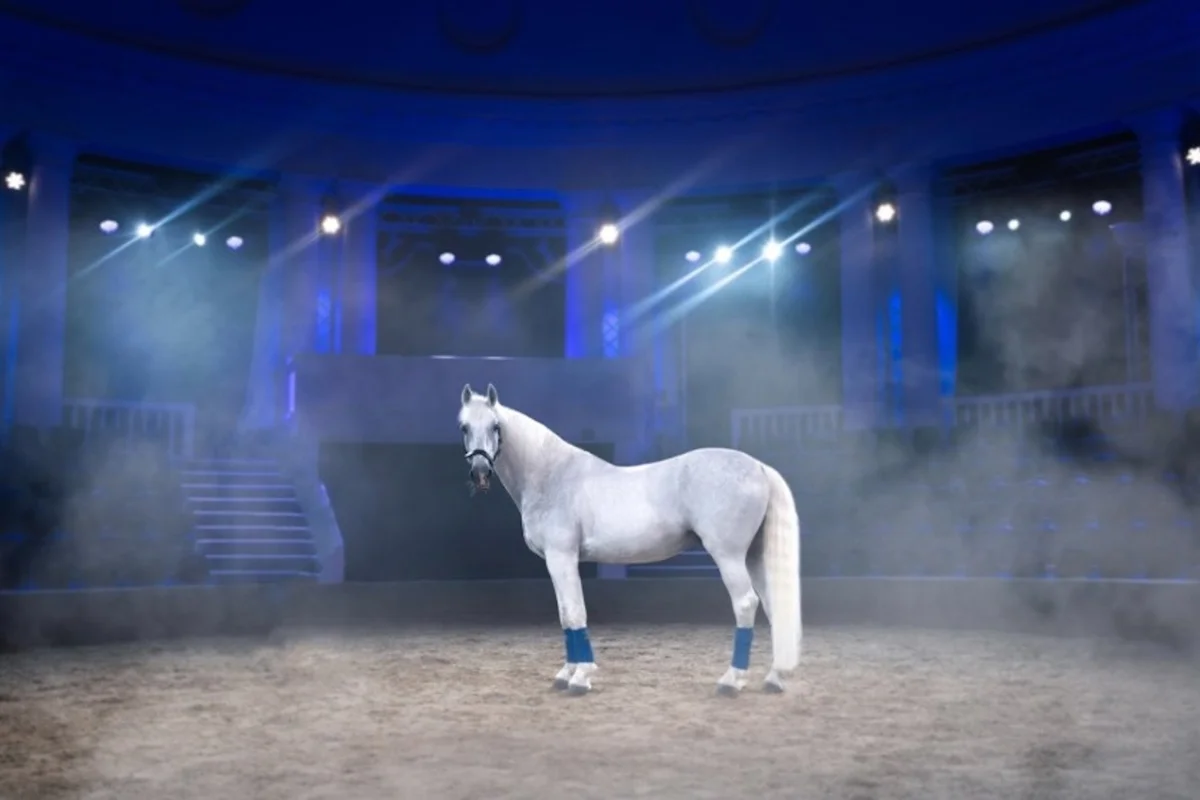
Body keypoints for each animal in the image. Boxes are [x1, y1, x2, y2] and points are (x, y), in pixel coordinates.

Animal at [457, 383, 801, 696]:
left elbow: (575, 612)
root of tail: (759, 467)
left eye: (495, 426)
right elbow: (565, 614)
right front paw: (566, 674)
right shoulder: (556, 562)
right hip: (754, 556)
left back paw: (732, 681)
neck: (551, 475)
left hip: (728, 556)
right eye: (464, 427)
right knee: (773, 606)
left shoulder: (562, 557)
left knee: (745, 603)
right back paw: (774, 678)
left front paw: (581, 677)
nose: (480, 472)